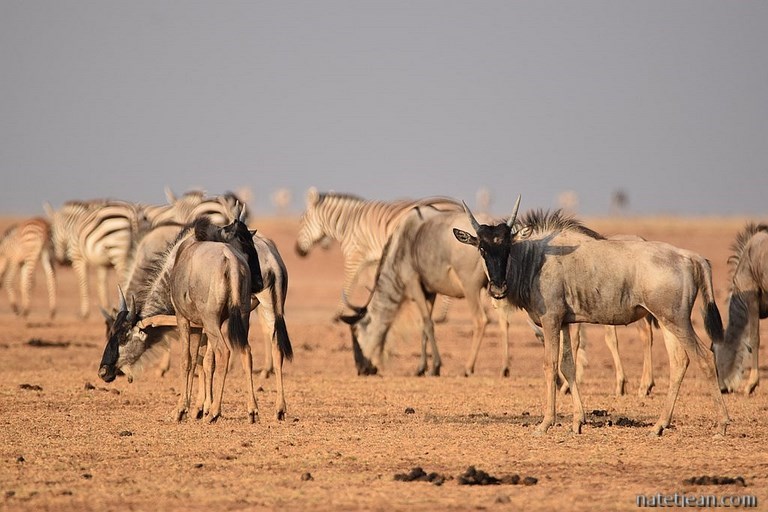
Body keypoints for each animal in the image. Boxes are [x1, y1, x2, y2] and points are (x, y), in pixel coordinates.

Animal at [295, 187, 462, 318]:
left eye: (302, 220)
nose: (297, 251)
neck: (348, 224)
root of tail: (458, 206)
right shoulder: (375, 260)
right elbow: (373, 284)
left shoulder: (354, 255)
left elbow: (349, 283)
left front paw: (337, 314)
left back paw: (441, 316)